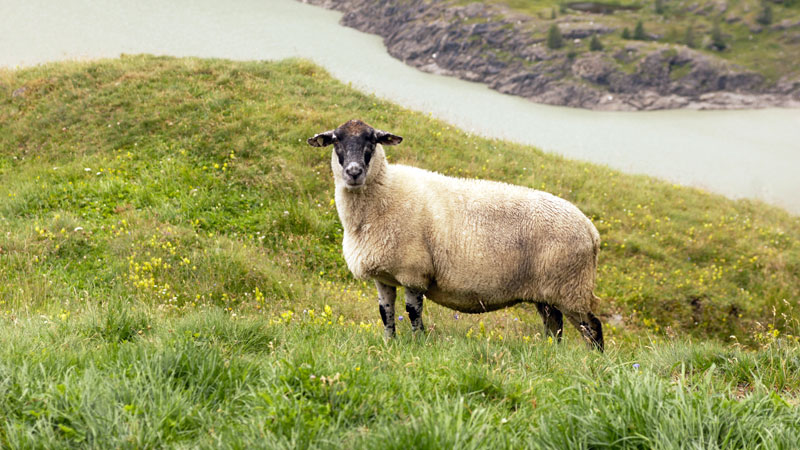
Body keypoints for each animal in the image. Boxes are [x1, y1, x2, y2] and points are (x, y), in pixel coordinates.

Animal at [310, 119, 604, 352]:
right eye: (336, 141)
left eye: (372, 140)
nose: (354, 172)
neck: (385, 193)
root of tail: (591, 231)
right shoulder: (383, 276)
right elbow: (386, 313)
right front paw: (389, 343)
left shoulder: (414, 272)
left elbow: (413, 313)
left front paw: (418, 344)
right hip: (549, 291)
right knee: (554, 328)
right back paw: (550, 354)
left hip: (571, 287)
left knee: (592, 327)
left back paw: (594, 361)